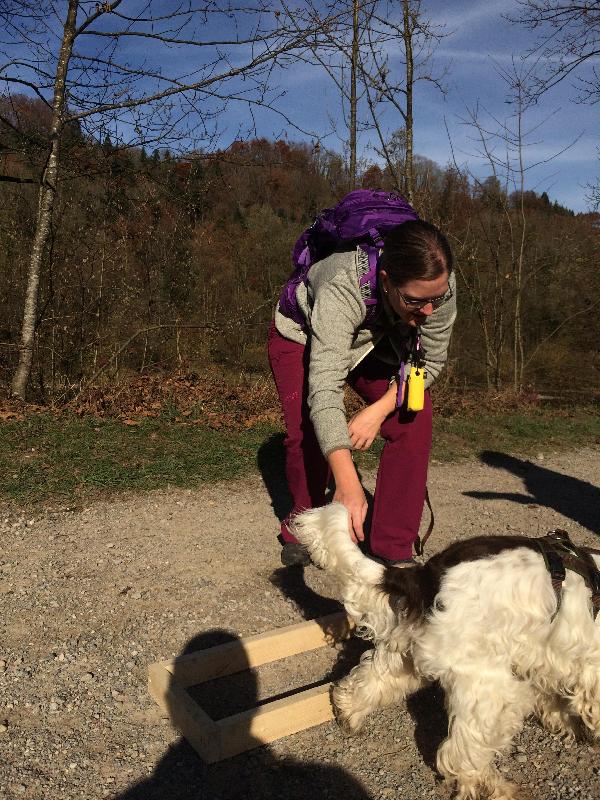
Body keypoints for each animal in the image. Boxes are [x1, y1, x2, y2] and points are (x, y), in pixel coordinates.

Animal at [291, 502, 600, 800]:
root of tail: (426, 575)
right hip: (490, 689)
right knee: (461, 754)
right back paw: (494, 788)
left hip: (407, 656)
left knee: (364, 683)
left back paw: (349, 715)